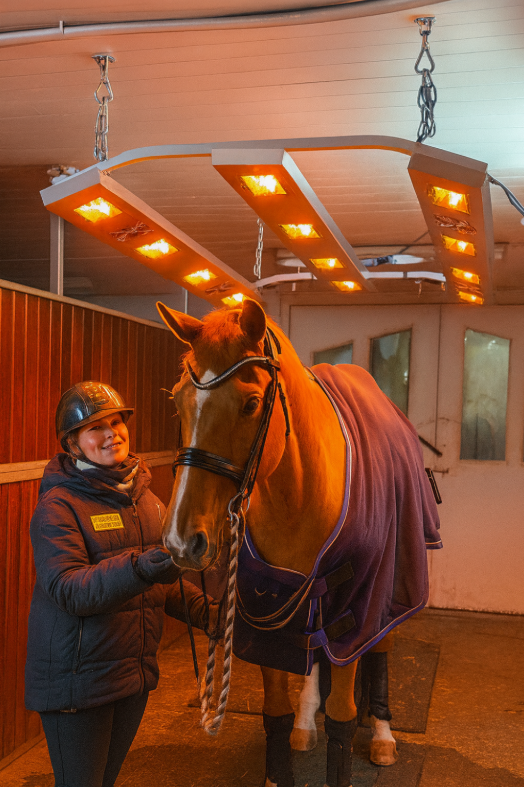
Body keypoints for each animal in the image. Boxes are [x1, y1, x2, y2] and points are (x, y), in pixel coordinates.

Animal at [157, 297, 441, 787]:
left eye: (252, 403)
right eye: (178, 400)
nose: (181, 540)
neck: (300, 496)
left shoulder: (356, 611)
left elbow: (342, 717)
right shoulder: (266, 608)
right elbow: (276, 713)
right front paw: (288, 744)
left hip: (388, 594)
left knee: (380, 649)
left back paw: (383, 735)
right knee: (311, 656)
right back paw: (307, 724)